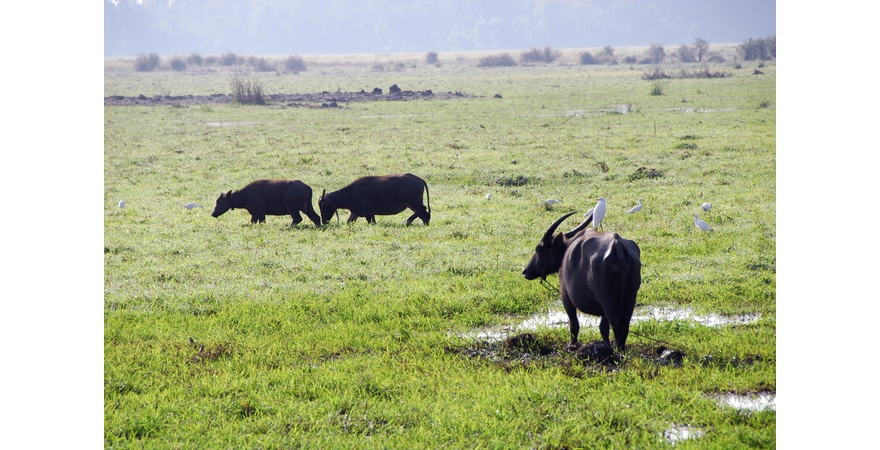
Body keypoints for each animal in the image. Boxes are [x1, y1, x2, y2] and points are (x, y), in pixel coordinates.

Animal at [524, 211, 640, 352]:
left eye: (538, 250)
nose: (525, 271)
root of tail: (617, 246)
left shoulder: (566, 297)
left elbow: (574, 324)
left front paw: (572, 345)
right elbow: (603, 327)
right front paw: (606, 345)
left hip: (606, 297)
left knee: (617, 322)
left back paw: (619, 351)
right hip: (630, 297)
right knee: (625, 322)